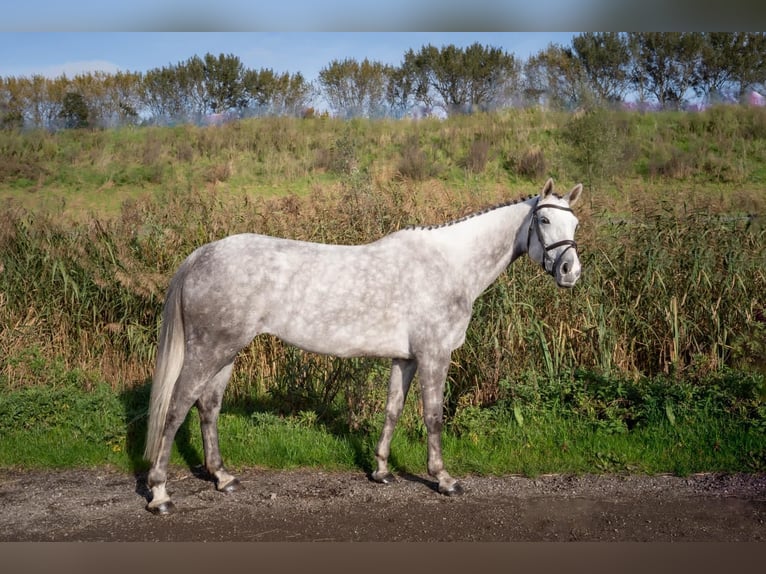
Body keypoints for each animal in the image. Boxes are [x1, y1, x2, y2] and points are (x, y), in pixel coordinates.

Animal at [144, 178, 584, 516]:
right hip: (208, 351)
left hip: (226, 353)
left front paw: (381, 471)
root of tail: (201, 255)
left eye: (575, 222)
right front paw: (443, 479)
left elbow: (392, 410)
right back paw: (160, 494)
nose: (570, 271)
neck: (448, 265)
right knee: (177, 407)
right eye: (544, 219)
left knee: (209, 407)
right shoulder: (434, 355)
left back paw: (223, 477)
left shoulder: (405, 359)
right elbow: (433, 417)